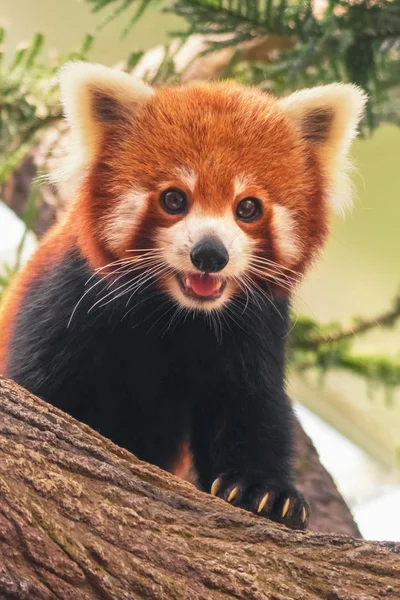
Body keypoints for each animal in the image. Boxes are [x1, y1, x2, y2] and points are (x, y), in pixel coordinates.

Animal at [0, 62, 366, 528]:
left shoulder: (252, 328)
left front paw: (264, 491)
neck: (176, 312)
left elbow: (252, 405)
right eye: (174, 199)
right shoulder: (66, 301)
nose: (210, 254)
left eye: (247, 208)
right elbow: (42, 390)